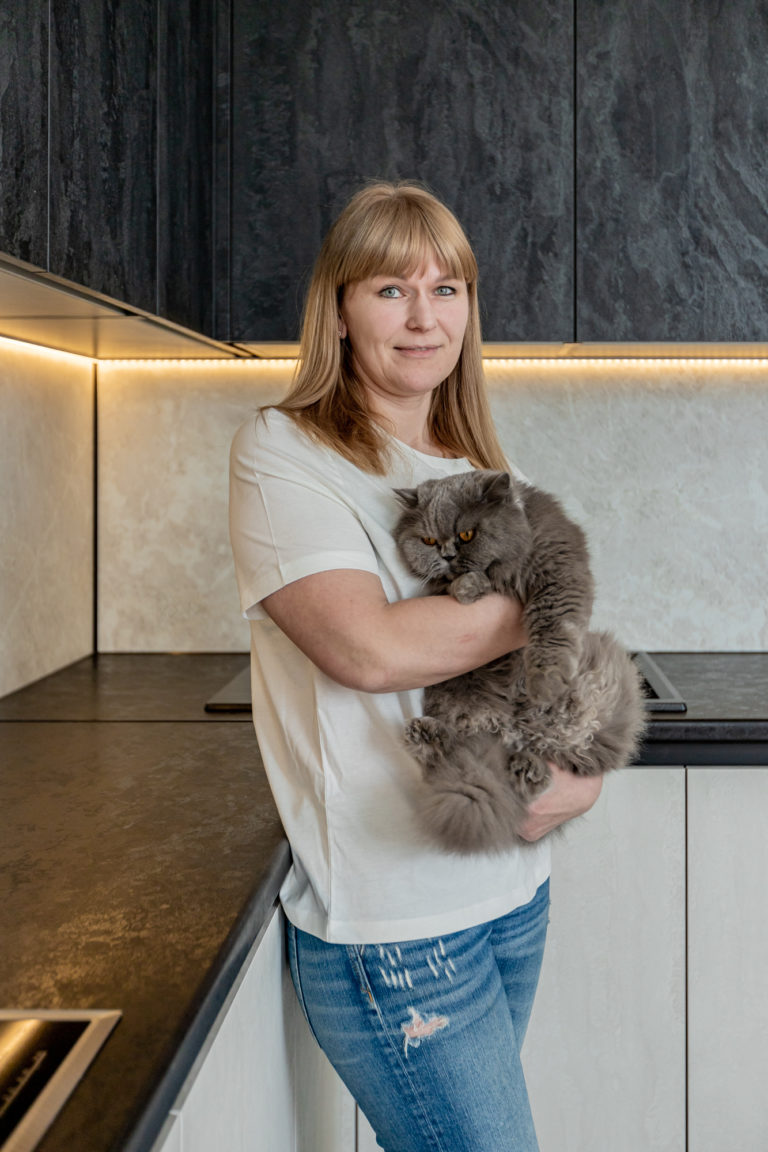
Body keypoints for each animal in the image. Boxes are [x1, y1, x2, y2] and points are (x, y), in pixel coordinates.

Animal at [393, 469, 646, 854]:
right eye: (428, 540)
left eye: (467, 534)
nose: (448, 555)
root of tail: (517, 729)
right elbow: (463, 586)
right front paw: (466, 586)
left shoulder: (558, 575)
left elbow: (551, 634)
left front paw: (545, 682)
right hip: (460, 706)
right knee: (459, 757)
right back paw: (430, 736)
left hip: (598, 695)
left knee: (551, 762)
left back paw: (528, 765)